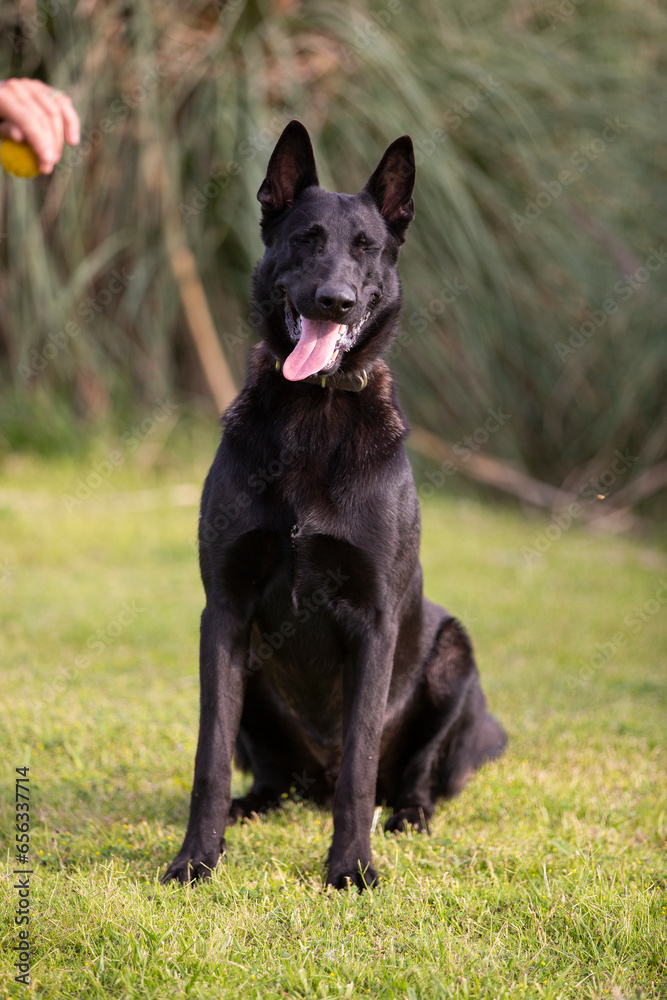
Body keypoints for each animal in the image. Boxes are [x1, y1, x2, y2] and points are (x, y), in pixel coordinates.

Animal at [163, 119, 506, 892]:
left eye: (366, 248)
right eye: (305, 239)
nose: (334, 301)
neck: (313, 414)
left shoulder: (374, 621)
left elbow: (359, 767)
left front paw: (350, 867)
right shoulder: (222, 613)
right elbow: (207, 754)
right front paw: (196, 858)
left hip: (453, 658)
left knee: (407, 777)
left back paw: (408, 816)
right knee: (269, 776)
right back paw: (248, 809)